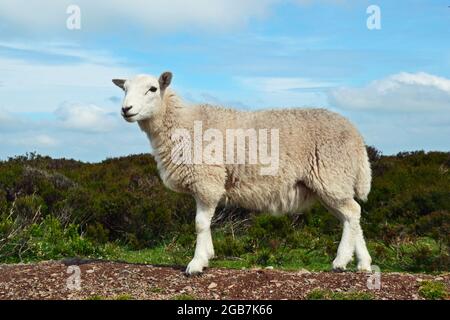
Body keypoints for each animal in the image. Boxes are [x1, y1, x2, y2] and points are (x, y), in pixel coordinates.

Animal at [112, 72, 372, 276]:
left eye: (152, 89)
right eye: (124, 89)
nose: (126, 109)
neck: (181, 123)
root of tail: (357, 136)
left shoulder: (207, 180)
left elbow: (200, 224)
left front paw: (196, 263)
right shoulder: (204, 186)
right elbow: (204, 223)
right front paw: (208, 255)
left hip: (331, 176)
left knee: (352, 213)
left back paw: (340, 261)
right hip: (332, 183)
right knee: (351, 216)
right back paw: (363, 264)